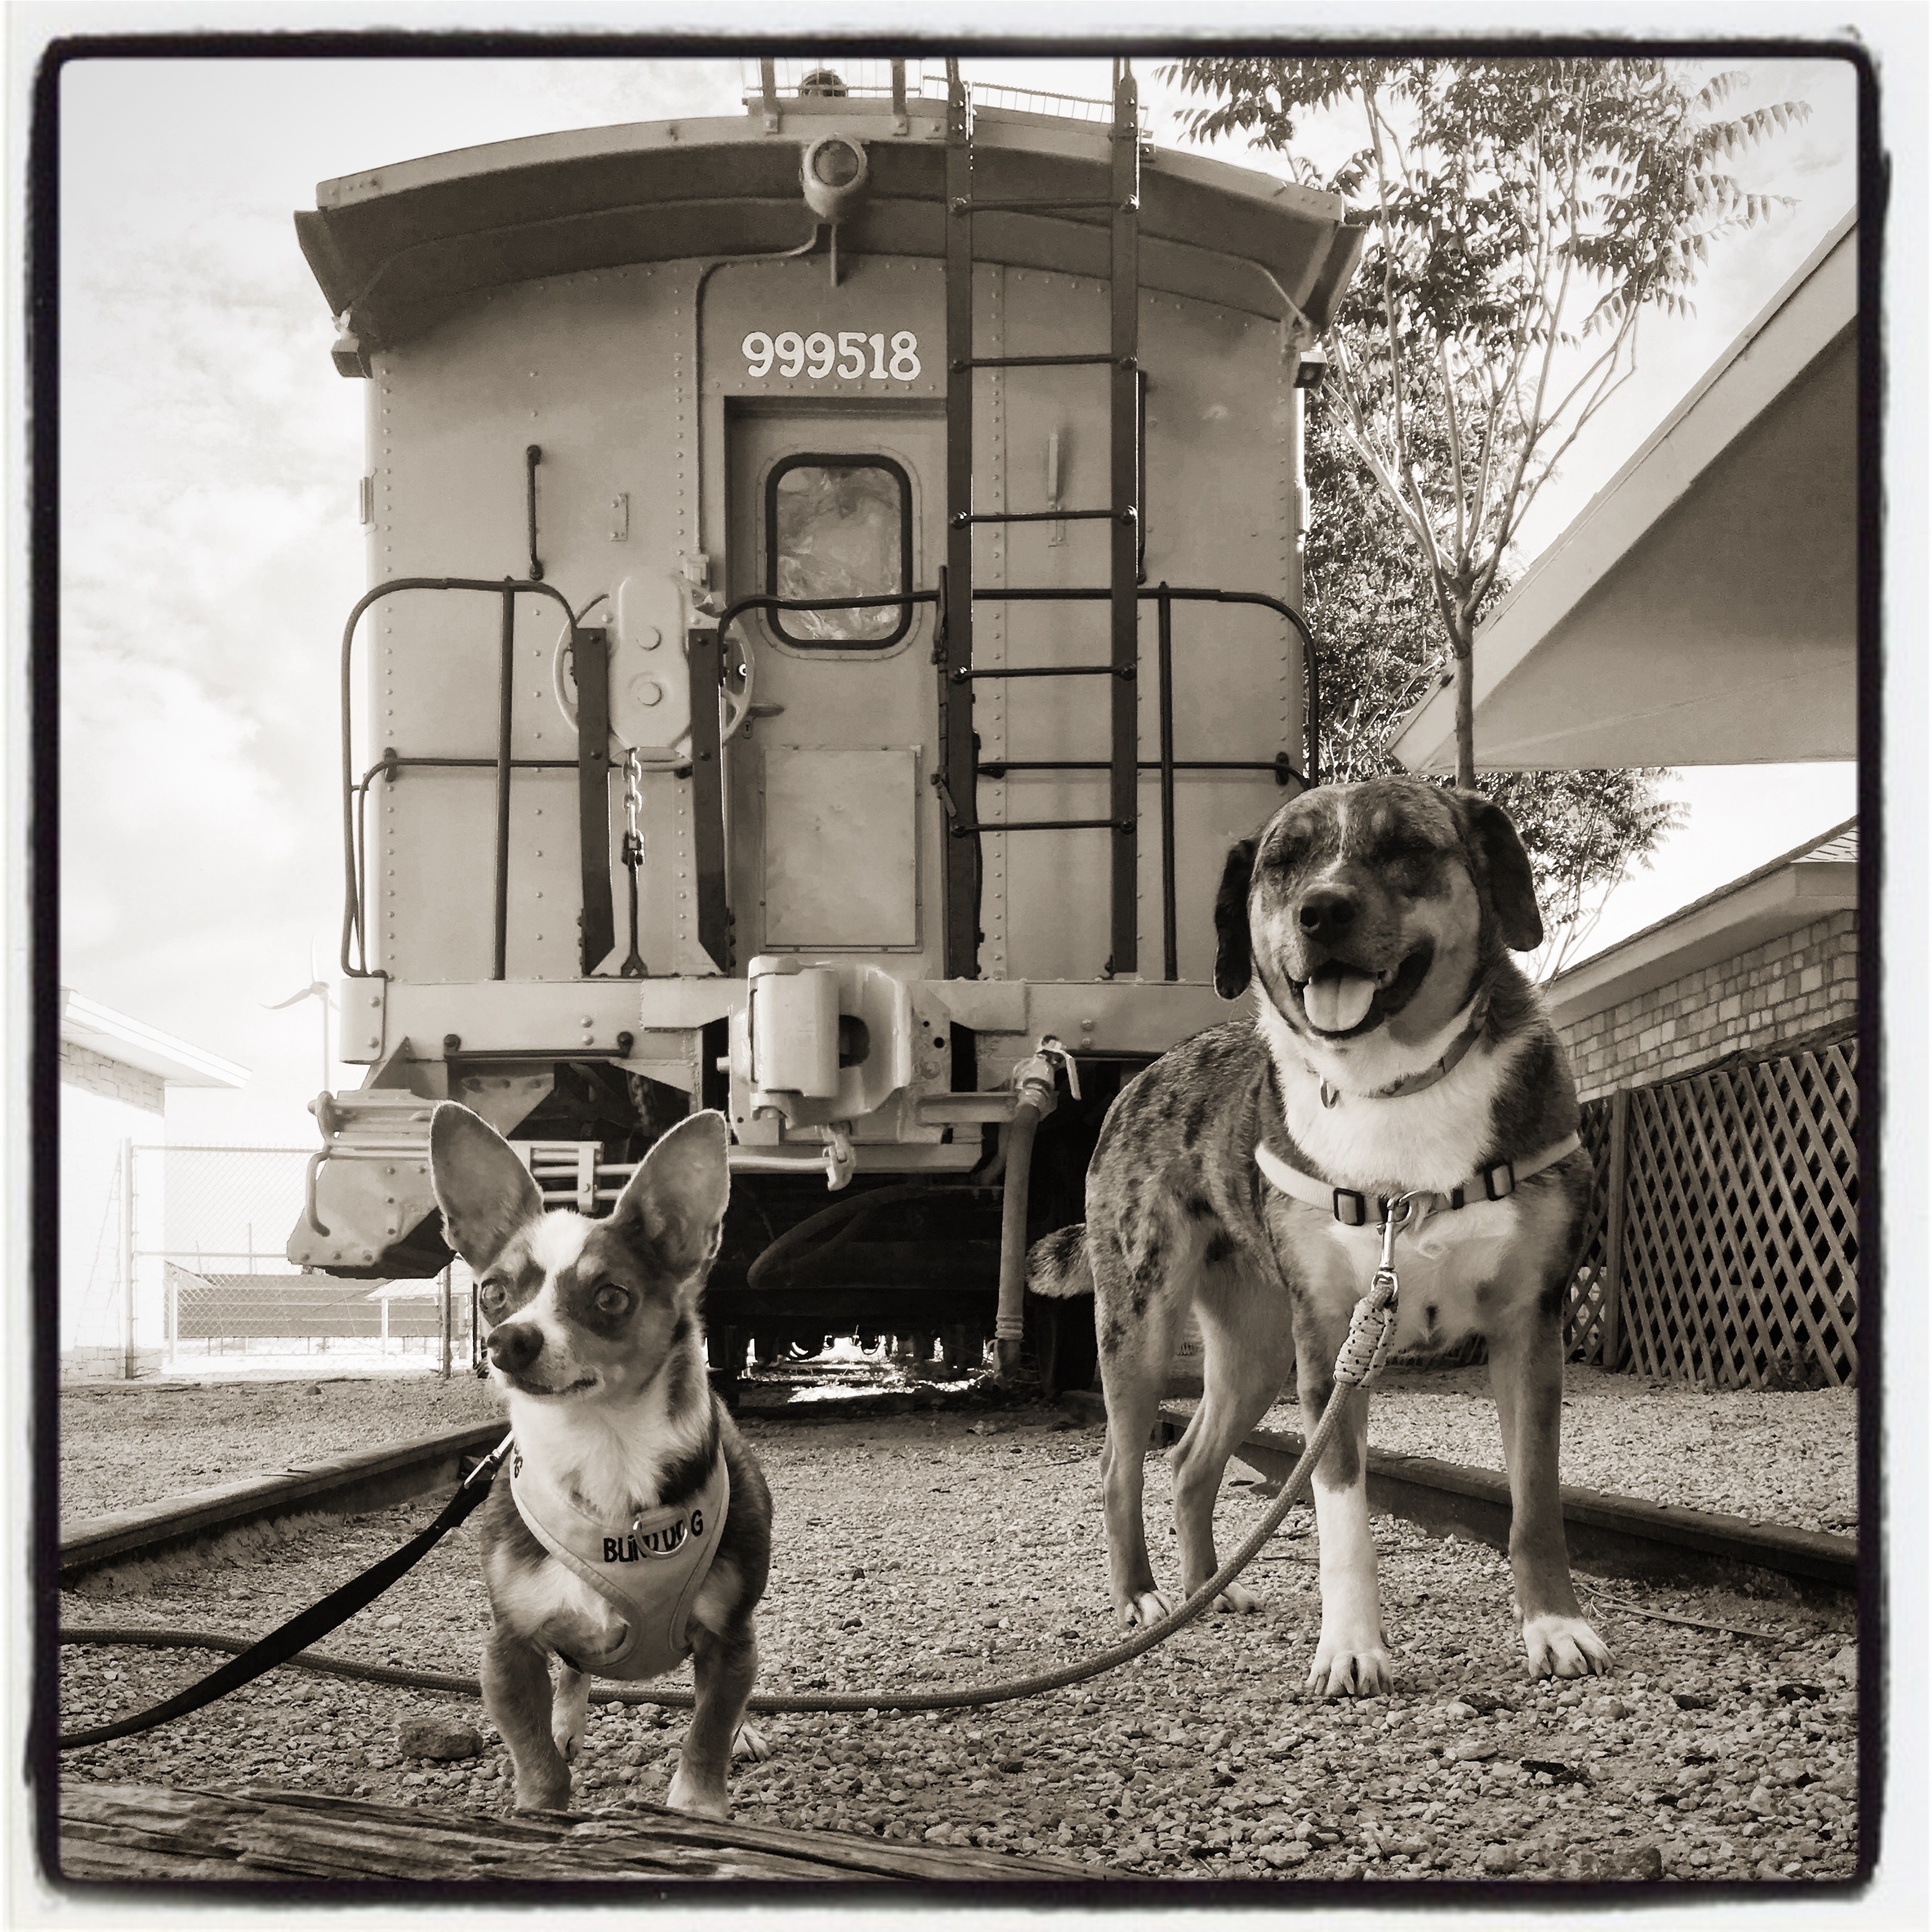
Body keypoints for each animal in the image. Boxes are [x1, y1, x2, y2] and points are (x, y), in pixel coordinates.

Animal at [1027, 776, 1615, 1700]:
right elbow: (1343, 1519)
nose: (1321, 910)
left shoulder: (1531, 1329)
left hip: (1258, 1345)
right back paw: (1144, 1598)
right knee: (1121, 1465)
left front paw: (1554, 1627)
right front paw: (1350, 1649)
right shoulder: (1334, 1341)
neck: (1393, 1084)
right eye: (1284, 861)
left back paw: (1207, 1590)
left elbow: (1536, 1503)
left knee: (1189, 1461)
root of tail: (1136, 1081)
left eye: (1407, 845)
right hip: (1144, 1323)